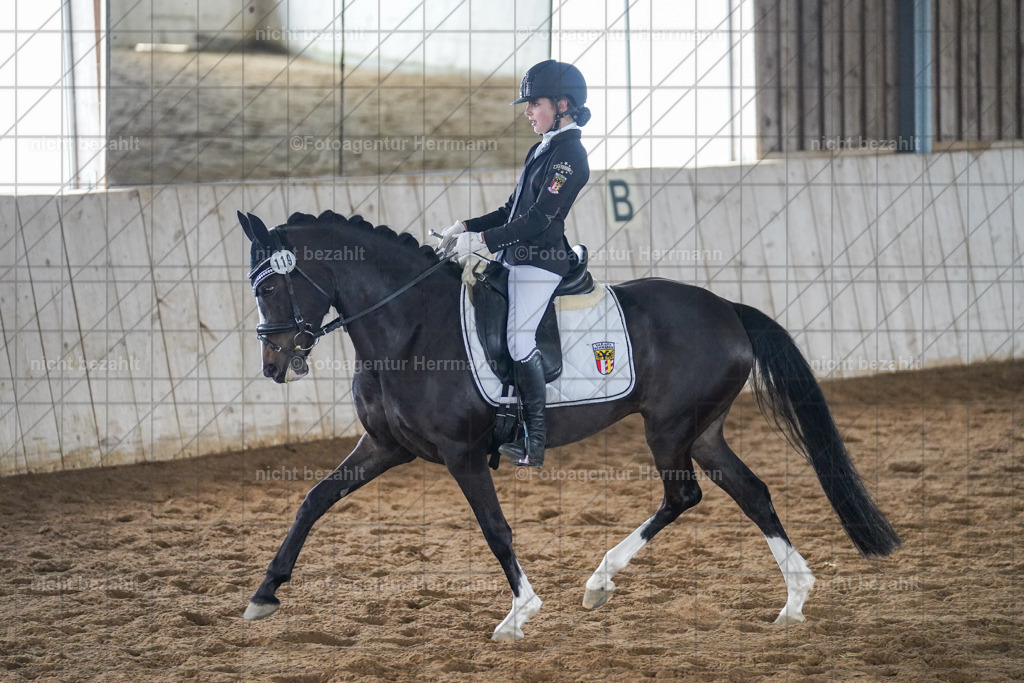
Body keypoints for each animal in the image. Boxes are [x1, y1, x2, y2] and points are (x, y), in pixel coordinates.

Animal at [237, 209, 900, 641]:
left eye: (272, 285)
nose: (272, 364)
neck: (410, 327)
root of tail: (728, 310)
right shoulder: (385, 446)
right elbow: (315, 498)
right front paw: (264, 594)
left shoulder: (461, 453)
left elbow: (495, 529)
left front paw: (519, 614)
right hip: (703, 431)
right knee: (751, 491)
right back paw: (793, 601)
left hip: (669, 428)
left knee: (683, 494)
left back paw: (601, 580)